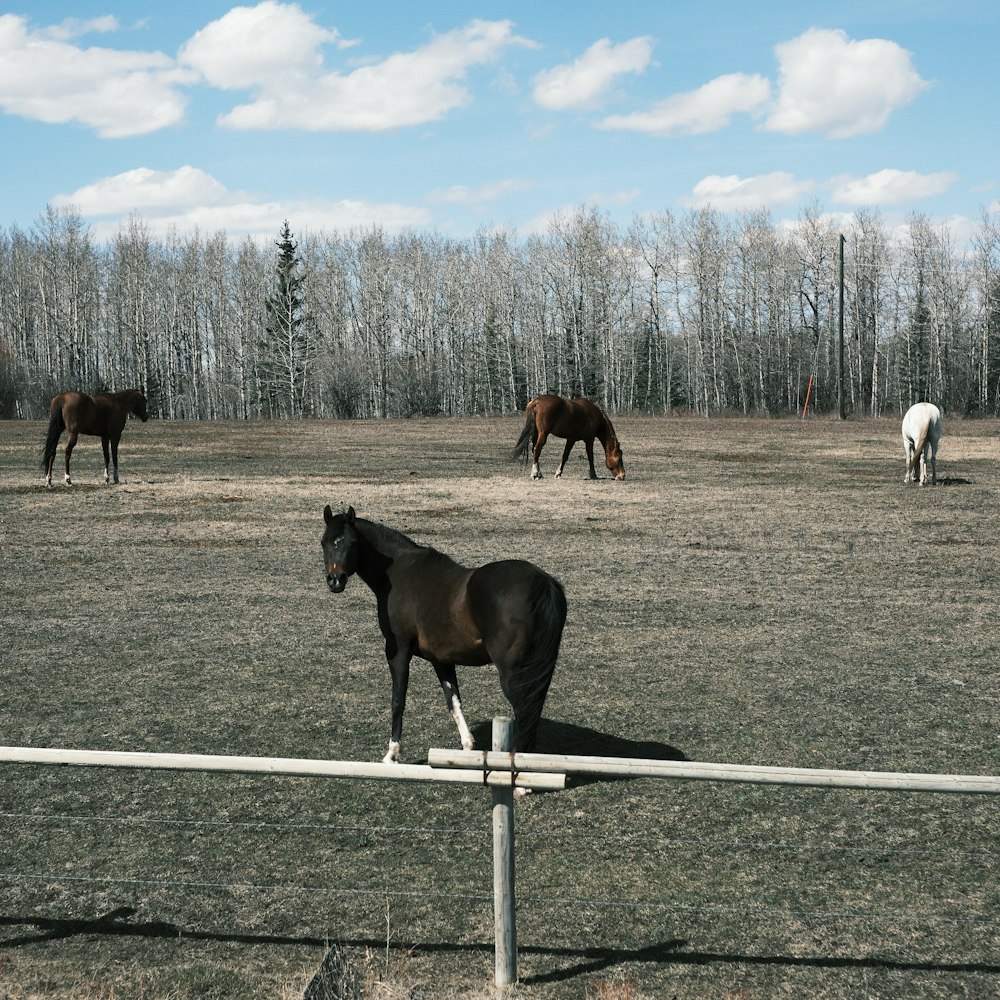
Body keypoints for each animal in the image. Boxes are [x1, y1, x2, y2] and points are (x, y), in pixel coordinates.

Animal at [322, 504, 568, 760]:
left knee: (525, 713)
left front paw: (392, 754)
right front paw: (468, 745)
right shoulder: (441, 659)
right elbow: (453, 700)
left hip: (514, 675)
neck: (398, 571)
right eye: (325, 543)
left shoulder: (397, 651)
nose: (335, 580)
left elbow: (398, 700)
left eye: (351, 543)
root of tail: (543, 582)